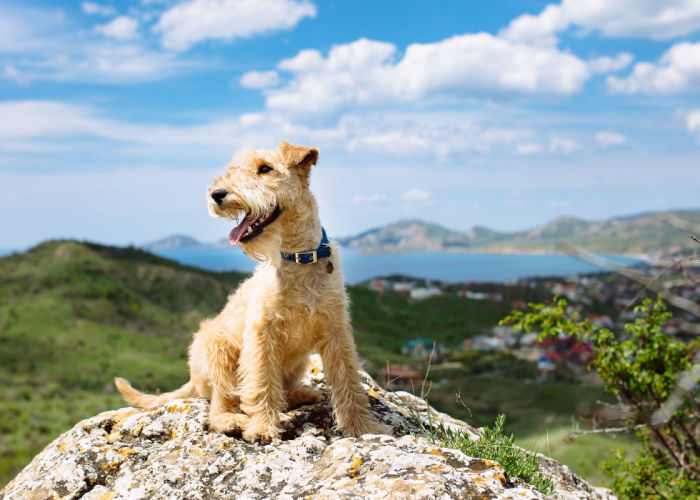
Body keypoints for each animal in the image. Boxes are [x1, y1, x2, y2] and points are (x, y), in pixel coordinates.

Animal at [115, 141, 388, 442]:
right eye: (233, 169)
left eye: (265, 168)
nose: (216, 194)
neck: (297, 259)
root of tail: (193, 379)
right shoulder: (261, 334)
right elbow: (262, 383)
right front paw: (261, 428)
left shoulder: (336, 332)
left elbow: (349, 382)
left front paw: (363, 428)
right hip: (217, 351)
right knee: (221, 403)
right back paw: (232, 420)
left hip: (297, 363)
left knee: (281, 390)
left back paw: (302, 394)